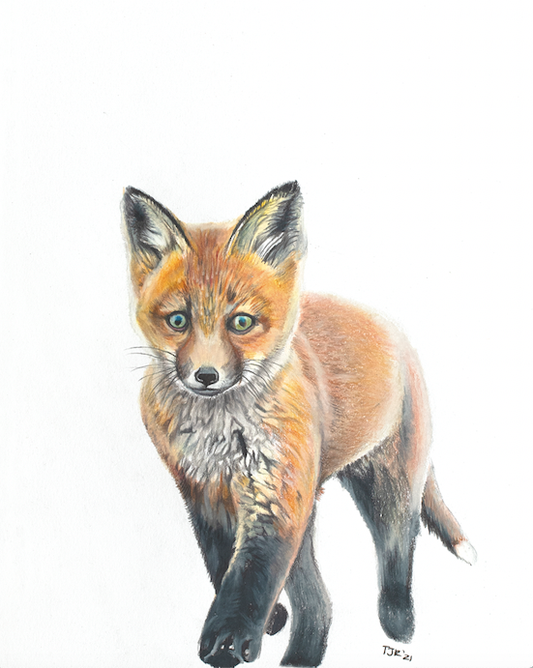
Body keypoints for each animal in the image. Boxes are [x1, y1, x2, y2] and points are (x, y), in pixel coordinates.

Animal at [122, 181, 476, 667]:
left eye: (241, 322)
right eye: (178, 320)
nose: (205, 376)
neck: (219, 433)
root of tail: (394, 329)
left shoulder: (275, 497)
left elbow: (250, 575)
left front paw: (229, 636)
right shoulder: (203, 492)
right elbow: (221, 564)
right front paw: (267, 620)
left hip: (388, 489)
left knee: (399, 547)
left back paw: (399, 622)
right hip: (312, 505)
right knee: (320, 603)